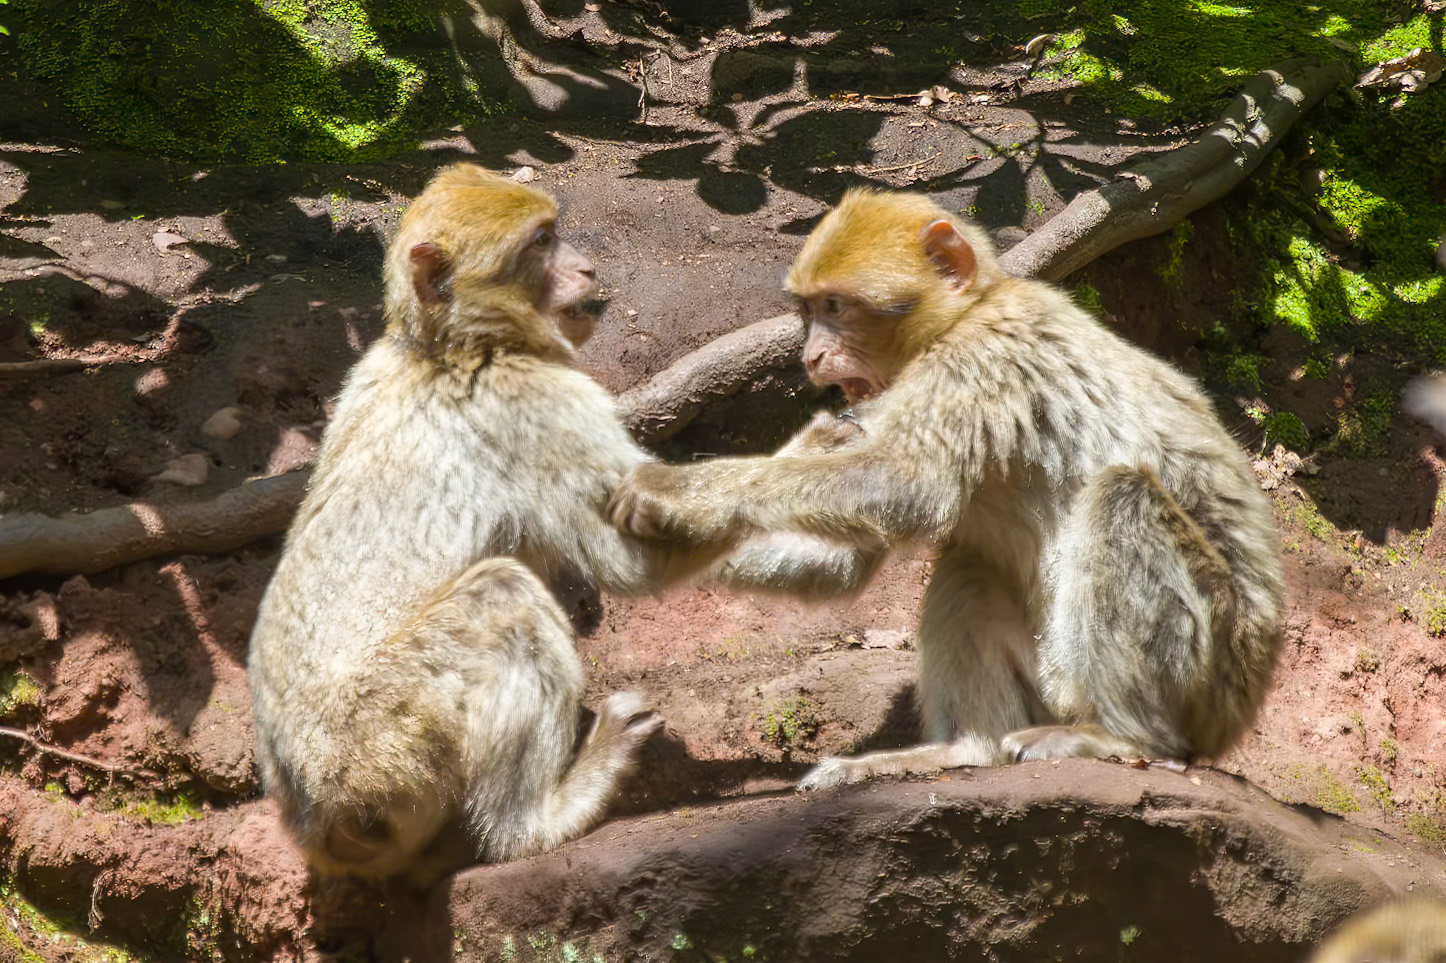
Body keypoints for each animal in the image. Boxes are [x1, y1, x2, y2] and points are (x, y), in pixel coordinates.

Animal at [609, 188, 1286, 789]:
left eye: (836, 307)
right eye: (808, 311)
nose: (811, 357)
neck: (964, 314)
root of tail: (1246, 705)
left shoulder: (977, 362)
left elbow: (907, 488)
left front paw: (680, 492)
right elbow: (844, 559)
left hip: (1206, 677)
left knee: (1122, 496)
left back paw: (1126, 738)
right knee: (971, 564)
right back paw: (964, 750)